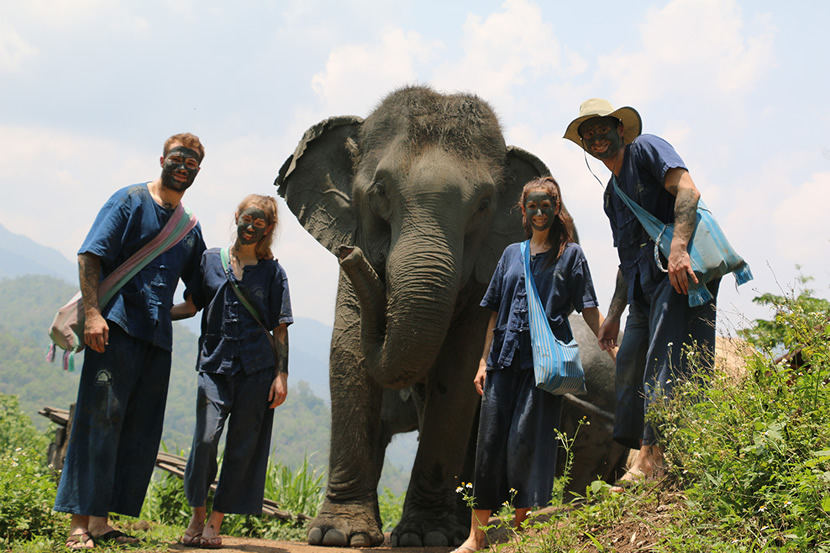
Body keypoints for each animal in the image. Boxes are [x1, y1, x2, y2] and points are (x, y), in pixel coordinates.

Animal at [275, 86, 627, 548]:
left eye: (483, 204)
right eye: (380, 191)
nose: (350, 255)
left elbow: (457, 376)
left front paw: (425, 537)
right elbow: (349, 356)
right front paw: (337, 536)